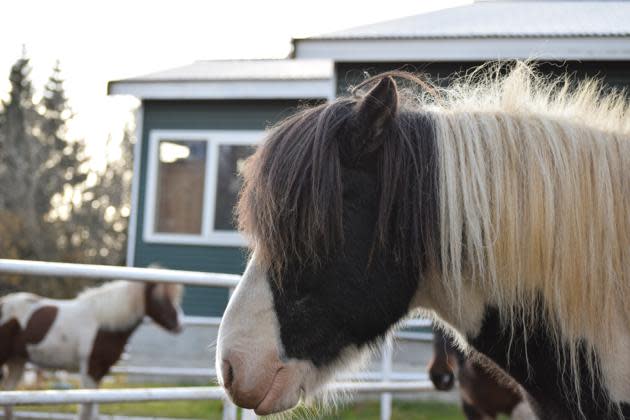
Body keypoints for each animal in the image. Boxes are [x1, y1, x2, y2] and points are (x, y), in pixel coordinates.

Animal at [0, 278, 184, 420]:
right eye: (159, 299)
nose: (179, 325)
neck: (103, 322)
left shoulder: (100, 372)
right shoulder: (90, 369)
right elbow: (86, 410)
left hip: (17, 361)